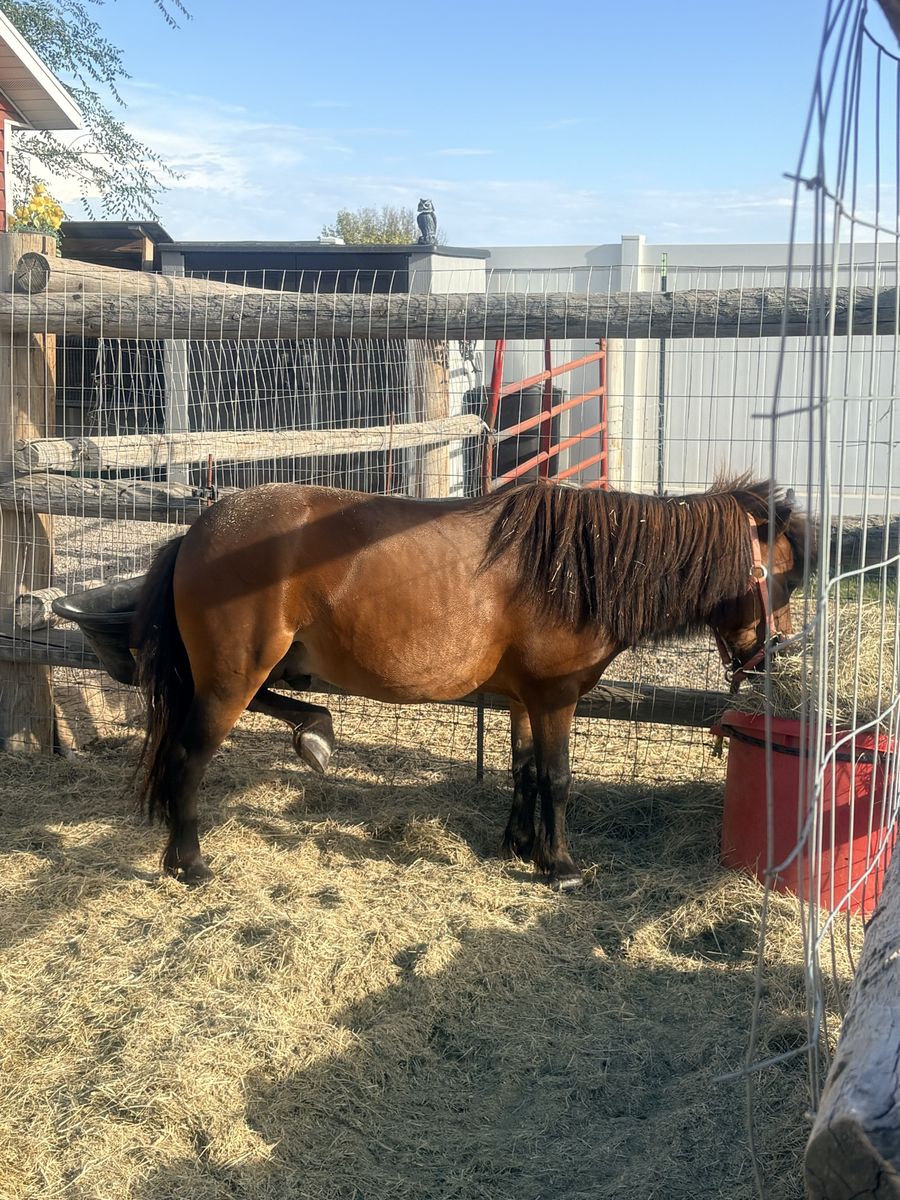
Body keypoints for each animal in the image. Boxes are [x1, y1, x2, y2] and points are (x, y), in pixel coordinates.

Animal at [132, 477, 811, 889]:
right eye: (782, 577)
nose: (775, 656)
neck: (573, 567)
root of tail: (199, 530)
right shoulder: (555, 698)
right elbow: (558, 778)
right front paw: (560, 864)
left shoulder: (522, 699)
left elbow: (525, 770)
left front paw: (519, 844)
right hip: (233, 676)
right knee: (188, 757)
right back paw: (189, 861)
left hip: (260, 667)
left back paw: (315, 733)